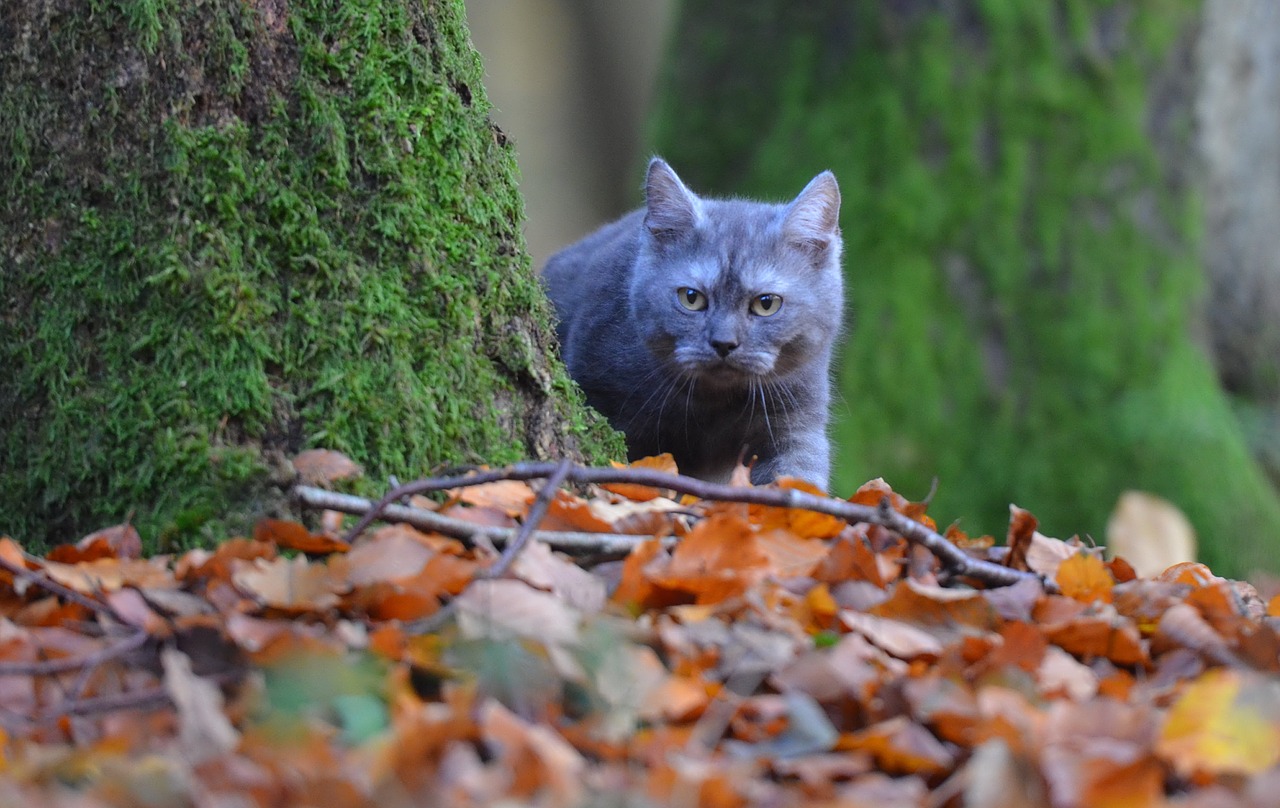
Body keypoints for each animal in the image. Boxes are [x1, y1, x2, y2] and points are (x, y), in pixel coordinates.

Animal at [545, 156, 844, 486]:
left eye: (766, 303)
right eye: (691, 298)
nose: (724, 342)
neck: (714, 406)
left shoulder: (797, 423)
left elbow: (796, 477)